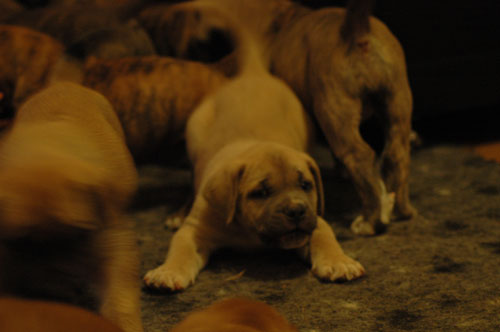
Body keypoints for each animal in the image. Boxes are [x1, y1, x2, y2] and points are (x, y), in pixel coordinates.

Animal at [0, 82, 145, 332]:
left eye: (80, 232)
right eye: (21, 241)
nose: (64, 269)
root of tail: (65, 84)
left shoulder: (113, 241)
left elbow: (120, 297)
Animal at [143, 3, 366, 294]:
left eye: (306, 185)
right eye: (261, 193)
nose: (296, 210)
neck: (249, 231)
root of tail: (253, 73)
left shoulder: (315, 221)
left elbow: (325, 237)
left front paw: (339, 262)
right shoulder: (194, 230)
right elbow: (180, 250)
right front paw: (168, 271)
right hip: (194, 137)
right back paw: (178, 214)